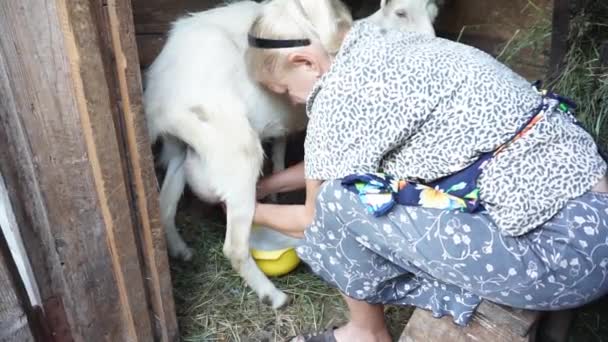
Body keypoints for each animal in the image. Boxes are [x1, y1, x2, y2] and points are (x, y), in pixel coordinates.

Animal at [144, 0, 442, 308]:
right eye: (400, 13)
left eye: (435, 15)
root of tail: (161, 96)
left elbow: (279, 153)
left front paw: (274, 191)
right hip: (235, 148)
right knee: (234, 247)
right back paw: (273, 296)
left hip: (180, 148)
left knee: (164, 206)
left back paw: (180, 250)